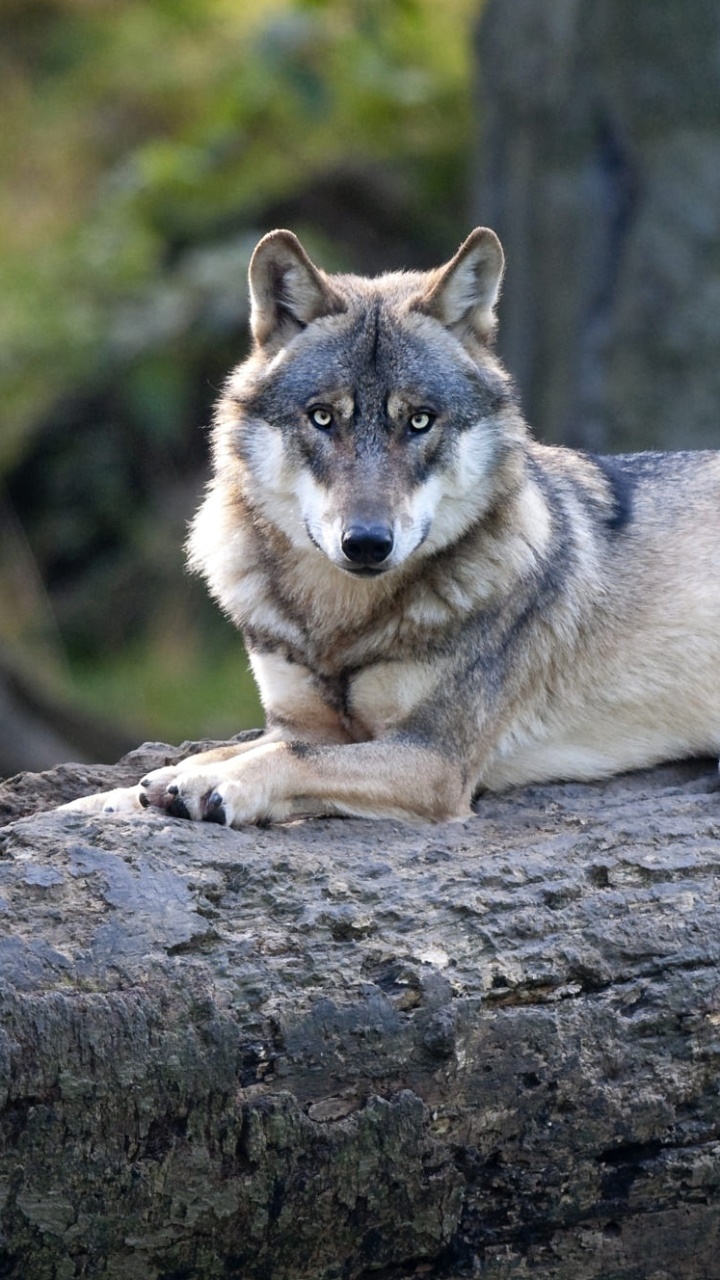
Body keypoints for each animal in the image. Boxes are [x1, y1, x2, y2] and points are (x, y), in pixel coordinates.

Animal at [62, 227, 720, 826]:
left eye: (420, 421)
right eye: (323, 418)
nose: (367, 544)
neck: (338, 622)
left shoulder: (433, 759)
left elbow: (288, 757)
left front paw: (209, 785)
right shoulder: (302, 721)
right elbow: (228, 749)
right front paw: (113, 797)